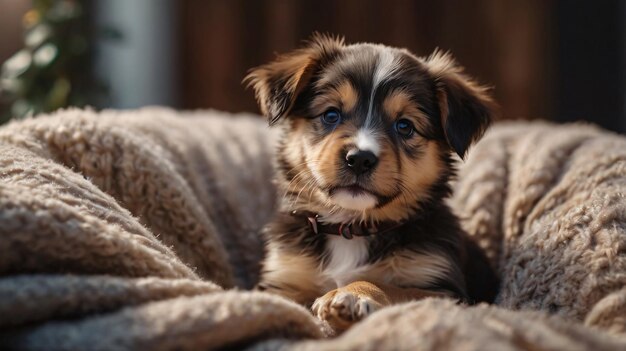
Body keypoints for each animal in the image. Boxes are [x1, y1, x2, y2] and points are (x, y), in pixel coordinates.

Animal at [244, 34, 498, 334]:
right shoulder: (284, 280)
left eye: (405, 126)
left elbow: (389, 285)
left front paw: (350, 294)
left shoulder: (444, 290)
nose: (359, 159)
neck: (351, 227)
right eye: (331, 115)